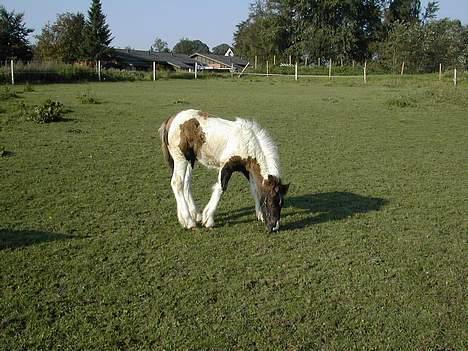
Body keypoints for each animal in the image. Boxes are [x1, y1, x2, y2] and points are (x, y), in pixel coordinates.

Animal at [158, 108, 288, 232]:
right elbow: (221, 188)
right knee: (177, 182)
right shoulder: (226, 165)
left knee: (186, 183)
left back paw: (192, 215)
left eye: (281, 203)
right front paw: (208, 219)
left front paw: (259, 215)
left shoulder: (246, 169)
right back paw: (189, 222)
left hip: (190, 159)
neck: (246, 143)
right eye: (272, 201)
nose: (274, 227)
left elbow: (255, 189)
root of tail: (171, 119)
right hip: (181, 158)